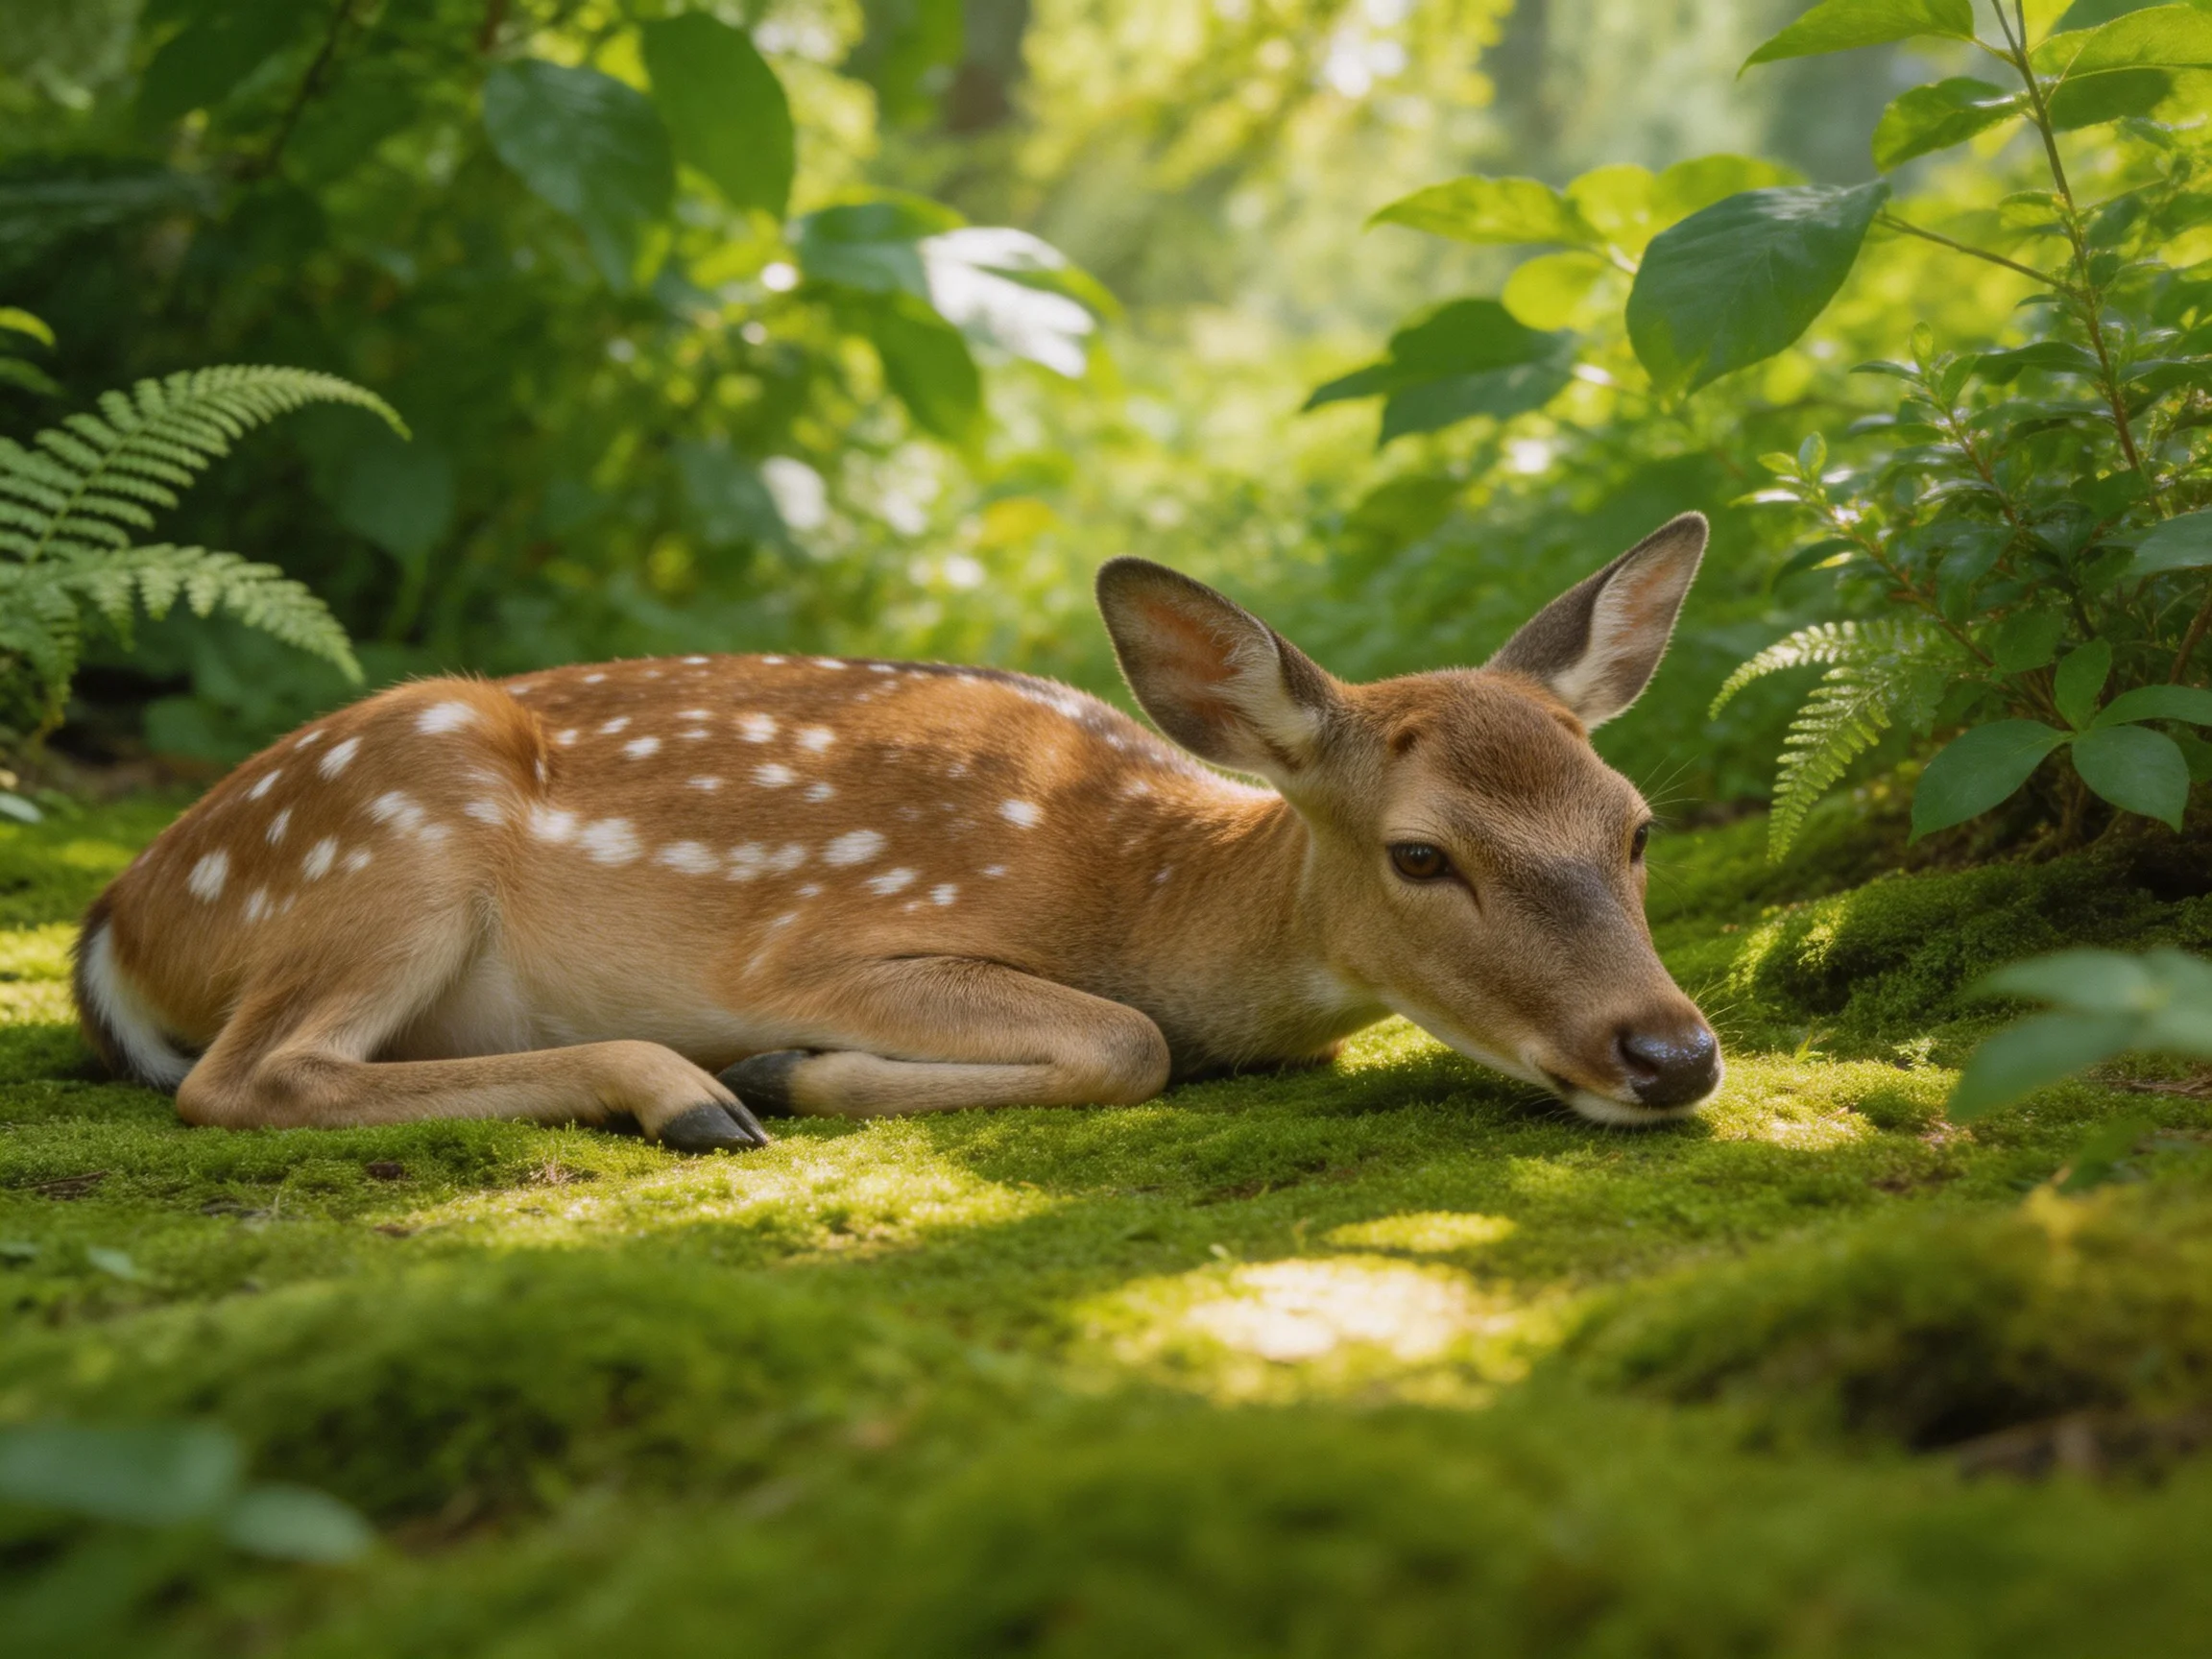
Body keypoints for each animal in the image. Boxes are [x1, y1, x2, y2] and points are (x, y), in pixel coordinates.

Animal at [72, 513, 1721, 1153]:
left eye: (1637, 831)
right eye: (1422, 854)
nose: (1671, 1052)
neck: (1153, 895)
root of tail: (115, 924)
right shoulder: (826, 943)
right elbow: (1128, 1042)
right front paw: (791, 1068)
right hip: (393, 844)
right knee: (246, 1079)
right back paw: (699, 1092)